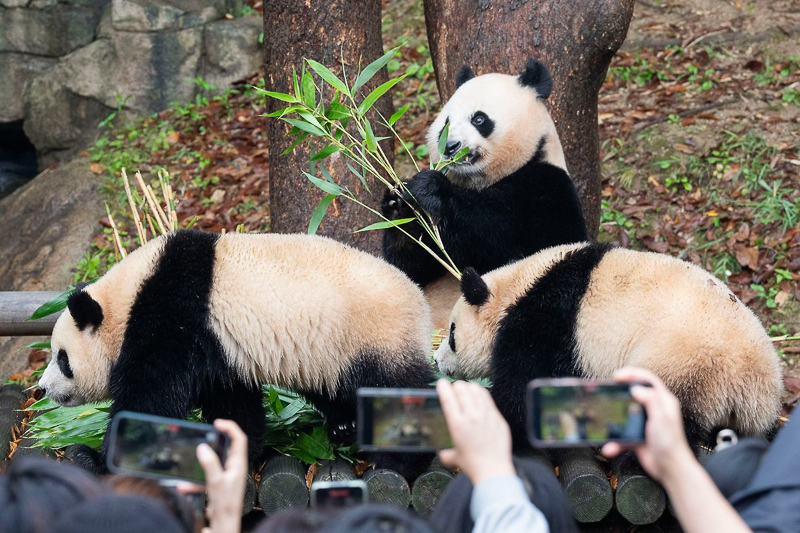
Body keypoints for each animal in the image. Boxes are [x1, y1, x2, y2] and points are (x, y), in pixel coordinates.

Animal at [39, 231, 434, 472]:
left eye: (62, 358)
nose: (43, 388)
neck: (127, 299)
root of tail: (421, 304)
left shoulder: (171, 318)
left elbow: (148, 401)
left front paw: (92, 457)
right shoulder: (220, 351)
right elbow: (233, 404)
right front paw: (232, 449)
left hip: (373, 335)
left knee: (395, 394)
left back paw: (400, 459)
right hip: (331, 355)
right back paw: (344, 426)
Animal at [382, 60, 588, 330]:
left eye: (479, 119)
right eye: (446, 123)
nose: (451, 147)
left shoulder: (548, 189)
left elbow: (503, 239)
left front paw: (430, 187)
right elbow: (407, 270)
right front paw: (398, 204)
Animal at [434, 243, 784, 446]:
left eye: (452, 335)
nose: (438, 361)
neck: (515, 289)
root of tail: (755, 386)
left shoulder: (546, 322)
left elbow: (522, 389)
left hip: (686, 366)